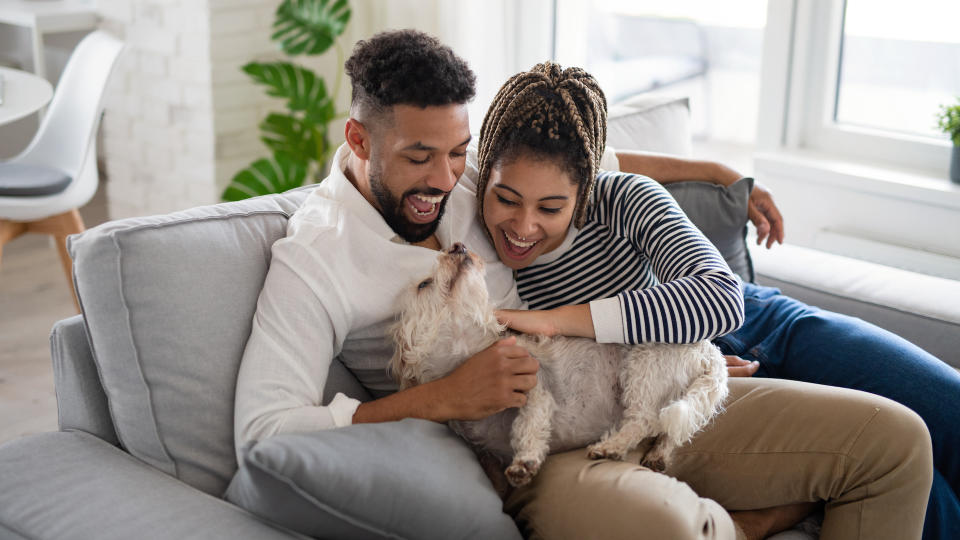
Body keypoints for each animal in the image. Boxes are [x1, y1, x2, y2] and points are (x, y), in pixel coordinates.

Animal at [390, 243, 728, 488]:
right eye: (424, 284)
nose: (457, 245)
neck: (473, 353)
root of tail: (711, 352)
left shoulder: (535, 387)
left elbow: (528, 424)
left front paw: (524, 462)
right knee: (672, 428)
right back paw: (657, 454)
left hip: (644, 365)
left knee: (645, 419)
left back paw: (611, 446)